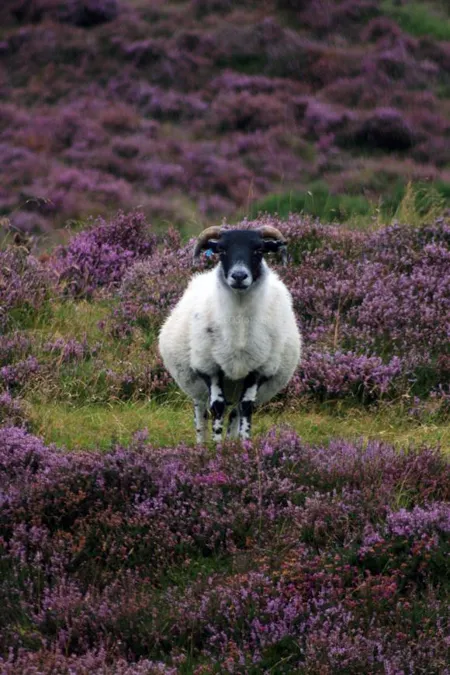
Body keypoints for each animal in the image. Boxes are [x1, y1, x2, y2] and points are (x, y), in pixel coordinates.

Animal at [158, 226, 302, 443]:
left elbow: (246, 407)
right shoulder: (209, 367)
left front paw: (243, 445)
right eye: (222, 250)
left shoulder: (258, 370)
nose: (239, 276)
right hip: (196, 385)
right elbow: (217, 406)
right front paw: (216, 446)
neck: (239, 329)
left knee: (235, 411)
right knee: (201, 413)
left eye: (259, 250)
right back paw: (201, 444)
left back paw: (232, 441)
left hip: (239, 384)